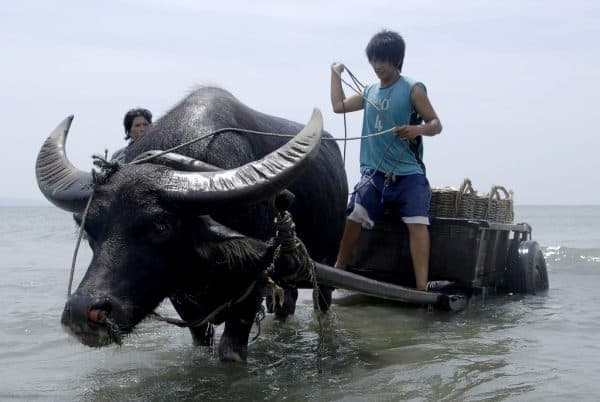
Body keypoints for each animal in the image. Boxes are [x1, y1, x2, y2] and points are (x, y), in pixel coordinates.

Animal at [36, 87, 346, 362]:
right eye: (89, 231)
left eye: (160, 227)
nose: (81, 312)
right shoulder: (183, 301)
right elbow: (200, 341)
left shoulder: (252, 285)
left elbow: (231, 351)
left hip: (325, 264)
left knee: (322, 303)